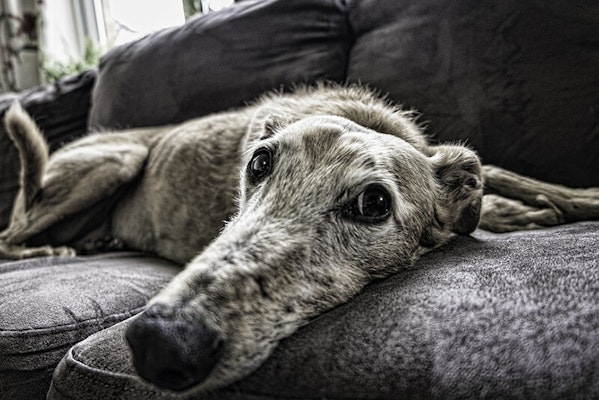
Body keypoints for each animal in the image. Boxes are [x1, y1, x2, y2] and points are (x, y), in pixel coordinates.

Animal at [1, 83, 599, 392]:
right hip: (115, 160)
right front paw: (521, 211)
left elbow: (501, 172)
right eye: (259, 163)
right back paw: (50, 247)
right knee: (10, 234)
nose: (158, 342)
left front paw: (571, 199)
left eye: (374, 203)